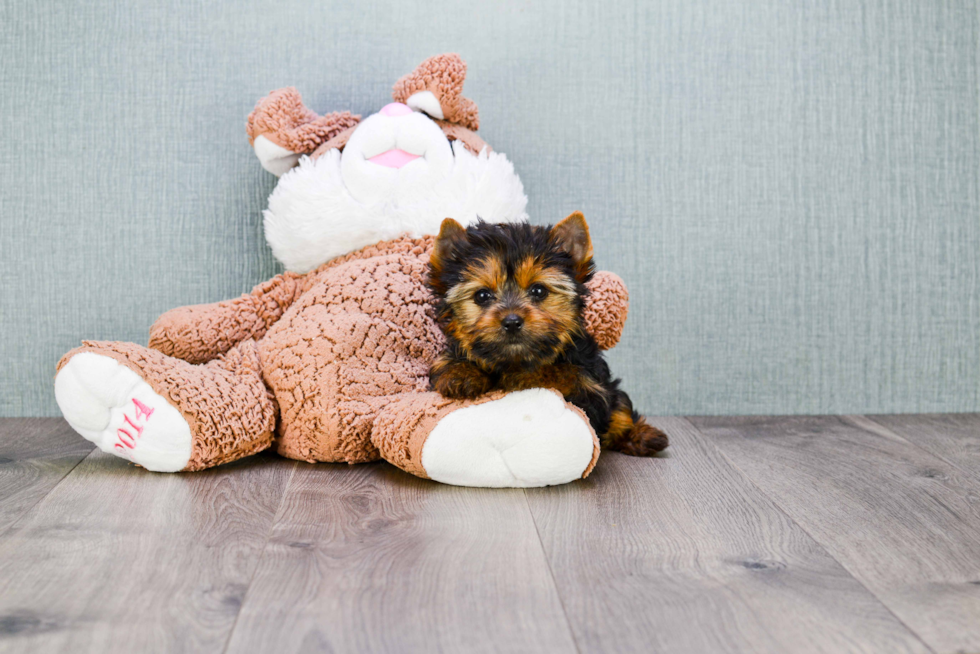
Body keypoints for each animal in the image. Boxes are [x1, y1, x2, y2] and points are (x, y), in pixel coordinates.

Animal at [424, 213, 668, 458]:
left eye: (539, 290)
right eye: (482, 296)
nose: (511, 321)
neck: (516, 360)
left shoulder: (591, 387)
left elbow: (562, 375)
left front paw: (523, 377)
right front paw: (461, 373)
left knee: (621, 407)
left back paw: (643, 436)